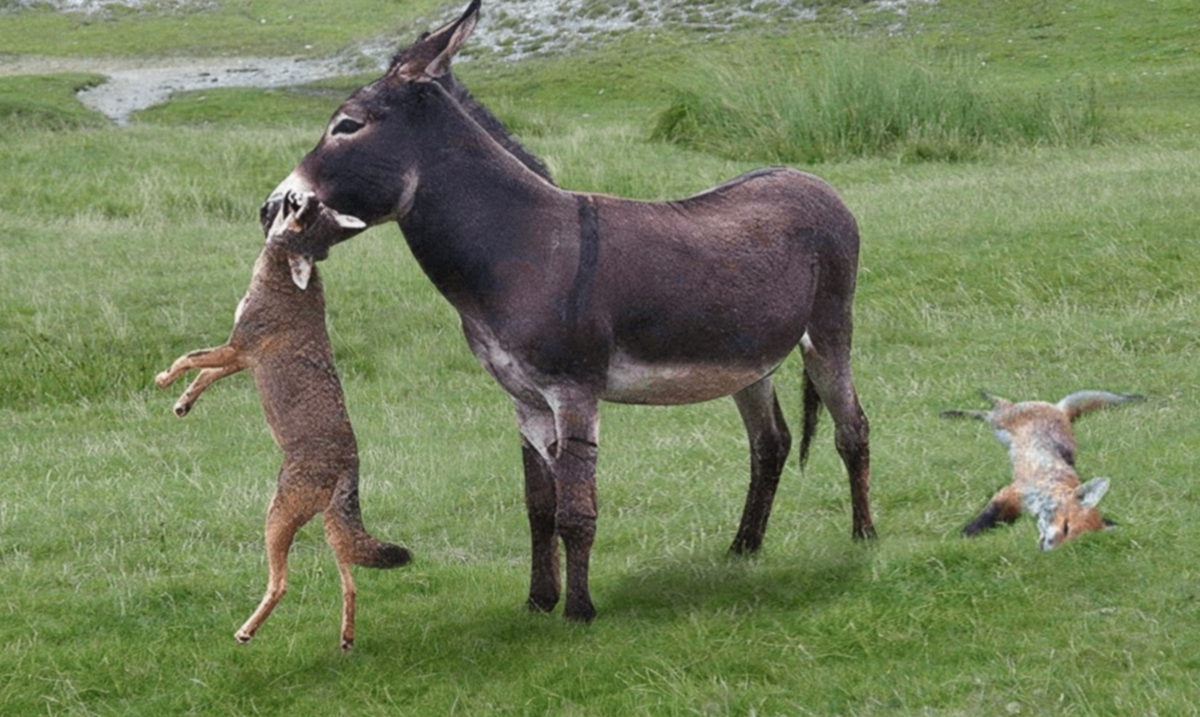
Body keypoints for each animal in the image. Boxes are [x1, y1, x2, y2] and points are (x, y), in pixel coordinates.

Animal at [156, 194, 408, 657]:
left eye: (305, 212)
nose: (297, 194)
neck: (280, 275)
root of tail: (349, 462)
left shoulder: (238, 347)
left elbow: (189, 359)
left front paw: (164, 380)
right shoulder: (241, 357)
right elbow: (204, 375)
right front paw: (182, 403)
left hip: (276, 521)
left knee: (282, 584)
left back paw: (246, 631)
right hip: (332, 533)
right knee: (351, 585)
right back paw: (346, 638)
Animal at [936, 393, 1142, 551]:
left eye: (1074, 540)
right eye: (1066, 527)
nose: (1050, 550)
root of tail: (1059, 411)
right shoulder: (1012, 491)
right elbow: (987, 516)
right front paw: (969, 532)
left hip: (1000, 430)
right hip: (1001, 421)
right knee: (995, 407)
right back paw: (965, 406)